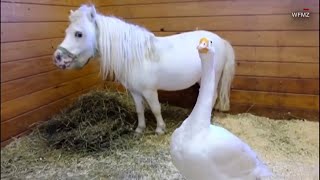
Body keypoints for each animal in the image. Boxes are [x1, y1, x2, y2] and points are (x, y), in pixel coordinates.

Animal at [53, 4, 235, 135]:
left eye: (78, 34)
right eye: (67, 31)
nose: (58, 58)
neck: (135, 56)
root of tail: (221, 40)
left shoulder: (149, 91)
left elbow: (155, 109)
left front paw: (160, 129)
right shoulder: (135, 91)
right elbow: (140, 110)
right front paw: (140, 129)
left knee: (213, 96)